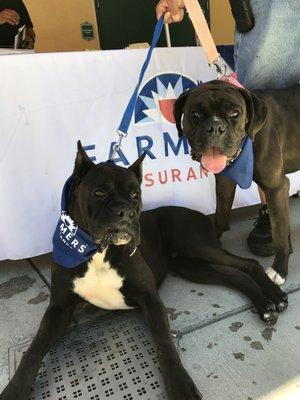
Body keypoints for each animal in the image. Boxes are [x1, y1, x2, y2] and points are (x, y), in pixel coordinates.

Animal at [0, 142, 288, 400]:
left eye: (135, 194)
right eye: (98, 193)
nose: (126, 212)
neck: (95, 251)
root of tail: (202, 215)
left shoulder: (149, 298)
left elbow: (165, 344)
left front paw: (181, 387)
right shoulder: (59, 308)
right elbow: (34, 350)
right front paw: (15, 389)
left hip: (197, 244)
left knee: (248, 264)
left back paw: (273, 297)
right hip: (192, 267)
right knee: (236, 275)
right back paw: (265, 305)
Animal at [173, 81, 300, 286]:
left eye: (234, 113)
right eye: (196, 114)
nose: (215, 127)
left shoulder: (276, 187)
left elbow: (279, 233)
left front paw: (279, 270)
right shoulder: (224, 183)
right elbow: (220, 215)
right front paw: (210, 242)